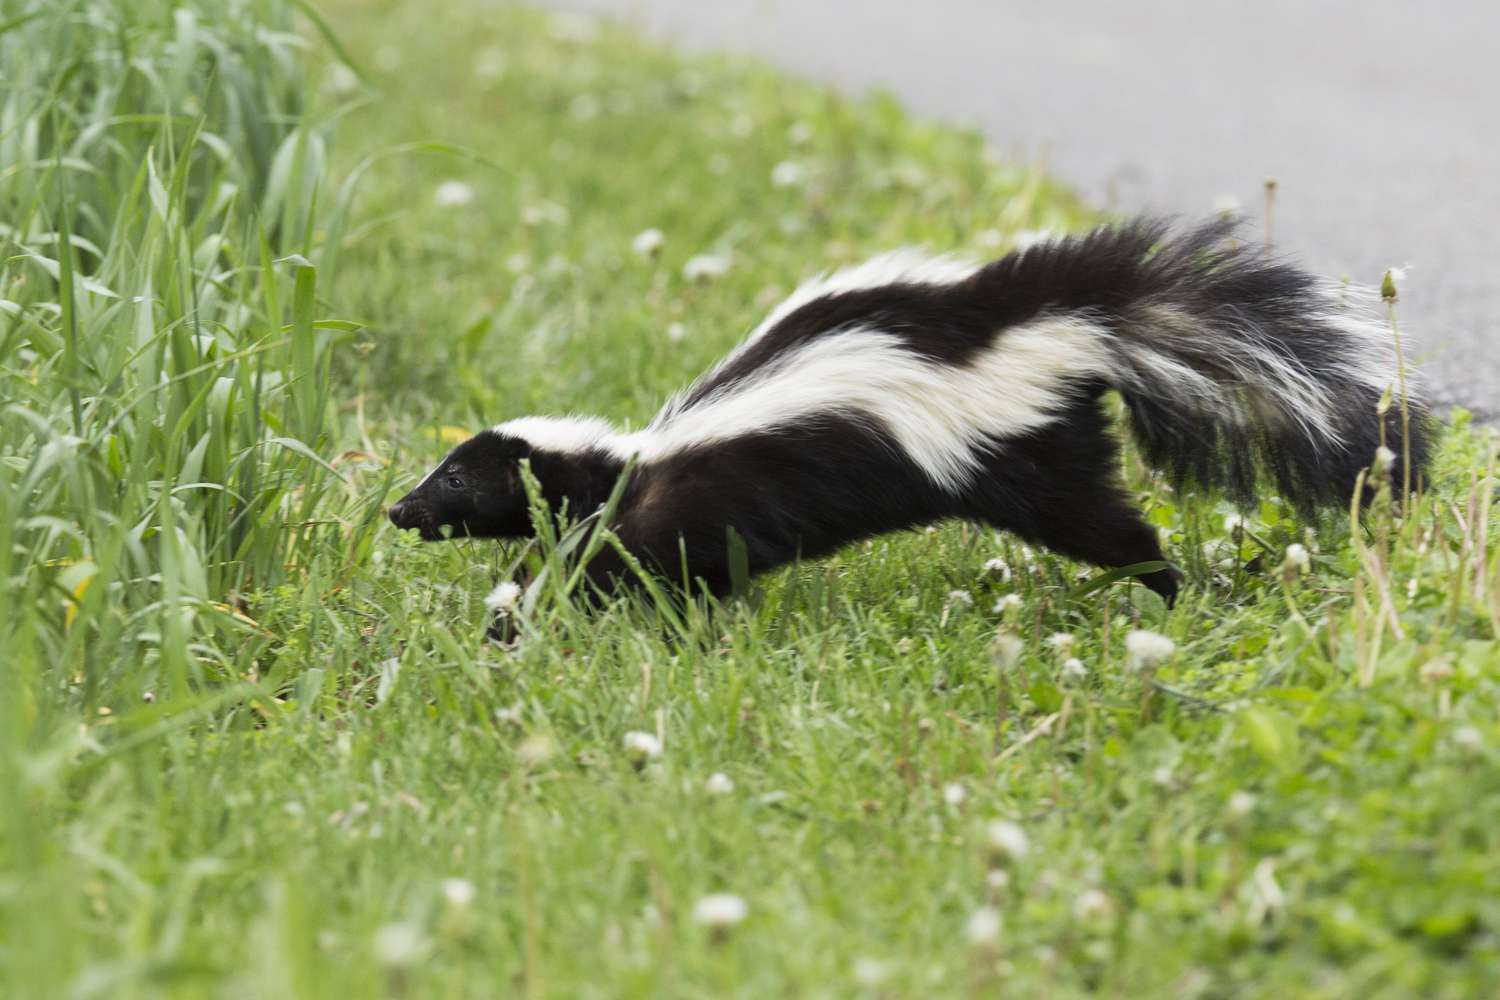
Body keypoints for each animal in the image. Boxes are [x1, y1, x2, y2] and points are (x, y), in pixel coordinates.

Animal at [387, 217, 1428, 605]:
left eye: (454, 477)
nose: (396, 509)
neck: (627, 460)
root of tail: (1051, 326)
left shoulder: (683, 504)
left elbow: (652, 564)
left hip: (1022, 459)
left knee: (1109, 526)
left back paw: (1165, 589)